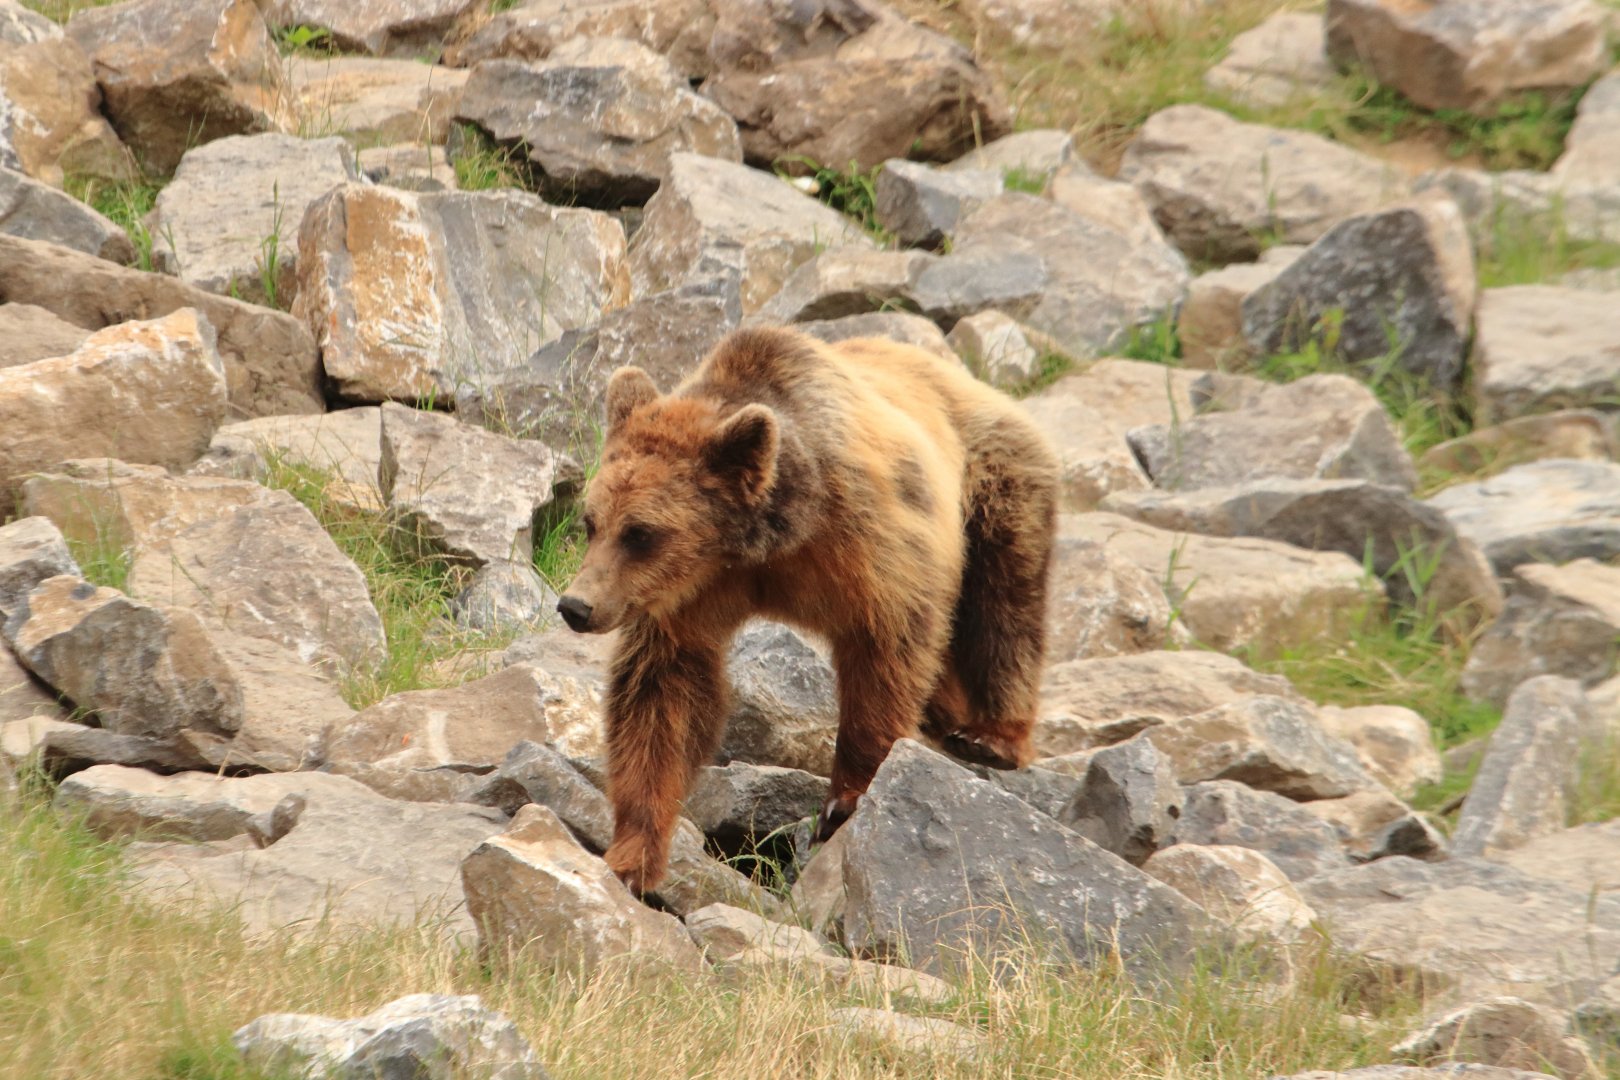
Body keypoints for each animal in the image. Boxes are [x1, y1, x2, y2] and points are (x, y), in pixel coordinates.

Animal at [557, 325, 1059, 894]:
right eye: (591, 522)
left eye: (641, 533)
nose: (576, 606)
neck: (770, 539)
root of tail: (975, 384)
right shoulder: (689, 597)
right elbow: (662, 698)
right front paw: (632, 853)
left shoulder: (871, 542)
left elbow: (885, 654)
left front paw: (844, 802)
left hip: (993, 488)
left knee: (1002, 607)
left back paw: (992, 735)